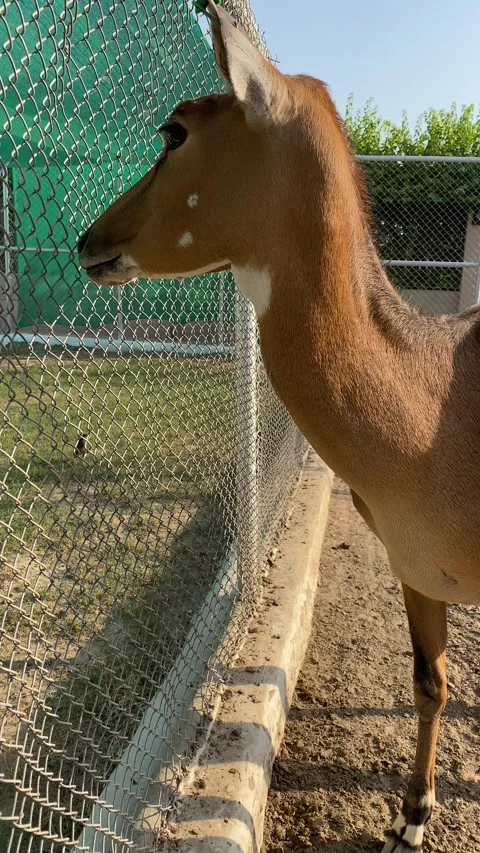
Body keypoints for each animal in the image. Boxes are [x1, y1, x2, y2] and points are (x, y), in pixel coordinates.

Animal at [77, 4, 480, 850]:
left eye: (174, 131)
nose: (88, 237)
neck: (437, 416)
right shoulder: (415, 566)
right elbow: (430, 679)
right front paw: (410, 817)